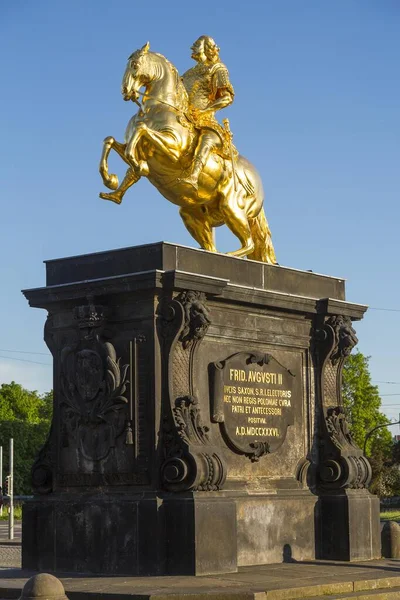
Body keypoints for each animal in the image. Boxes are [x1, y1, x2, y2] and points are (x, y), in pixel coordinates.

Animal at [98, 42, 276, 262]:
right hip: (192, 213)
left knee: (249, 243)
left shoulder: (173, 150)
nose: (125, 91)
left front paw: (139, 166)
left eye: (135, 65)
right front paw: (111, 181)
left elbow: (141, 131)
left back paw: (229, 255)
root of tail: (257, 183)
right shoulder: (135, 146)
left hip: (231, 207)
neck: (155, 109)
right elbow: (110, 141)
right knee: (212, 246)